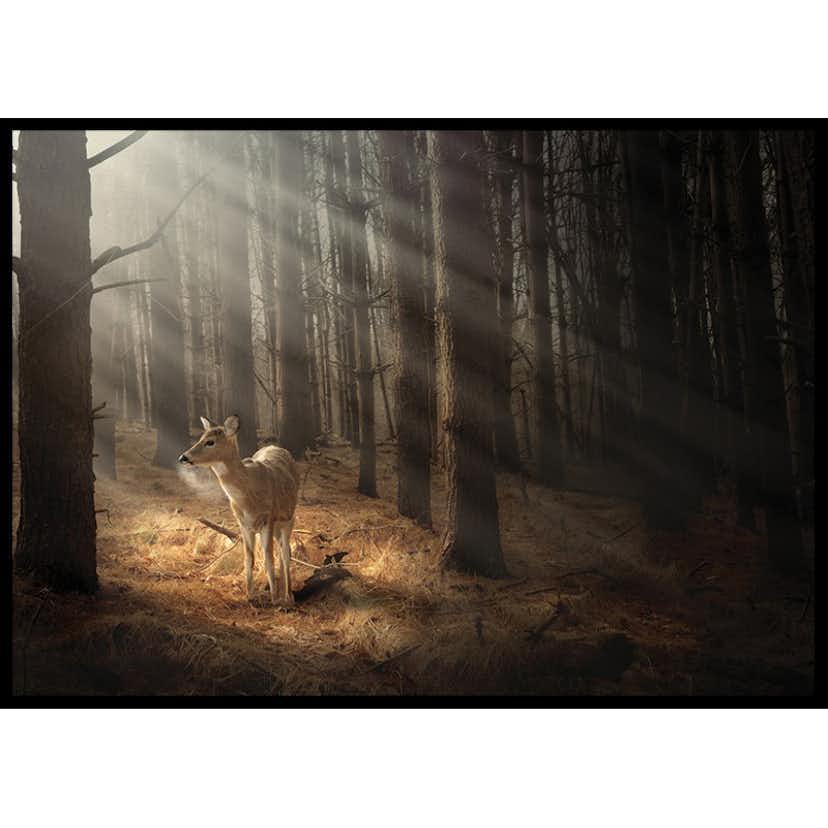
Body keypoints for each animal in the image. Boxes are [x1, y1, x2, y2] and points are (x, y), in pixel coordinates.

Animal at [178, 415, 300, 606]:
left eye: (210, 442)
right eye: (200, 438)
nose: (183, 457)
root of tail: (276, 447)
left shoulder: (268, 518)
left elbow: (269, 558)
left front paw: (274, 600)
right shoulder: (243, 523)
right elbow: (248, 558)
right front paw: (249, 596)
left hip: (289, 517)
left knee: (285, 552)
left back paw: (288, 596)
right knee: (282, 551)